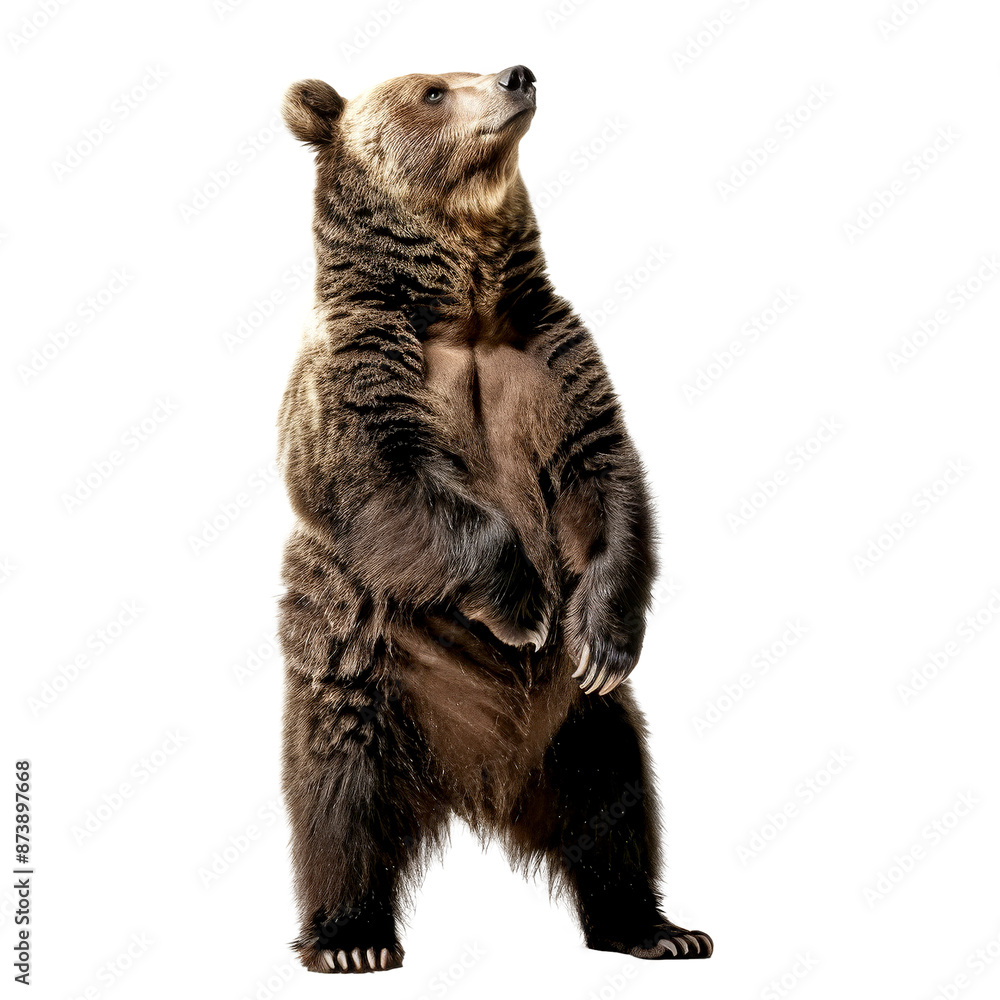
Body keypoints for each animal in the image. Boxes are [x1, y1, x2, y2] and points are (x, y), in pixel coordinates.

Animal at [276, 65, 712, 974]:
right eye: (432, 90)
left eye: (461, 72)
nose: (518, 74)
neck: (465, 311)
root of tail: (479, 783)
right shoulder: (363, 368)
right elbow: (387, 478)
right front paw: (525, 605)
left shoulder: (555, 359)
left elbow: (608, 477)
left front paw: (600, 635)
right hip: (369, 676)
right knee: (340, 798)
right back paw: (351, 939)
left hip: (578, 726)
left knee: (618, 801)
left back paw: (655, 927)